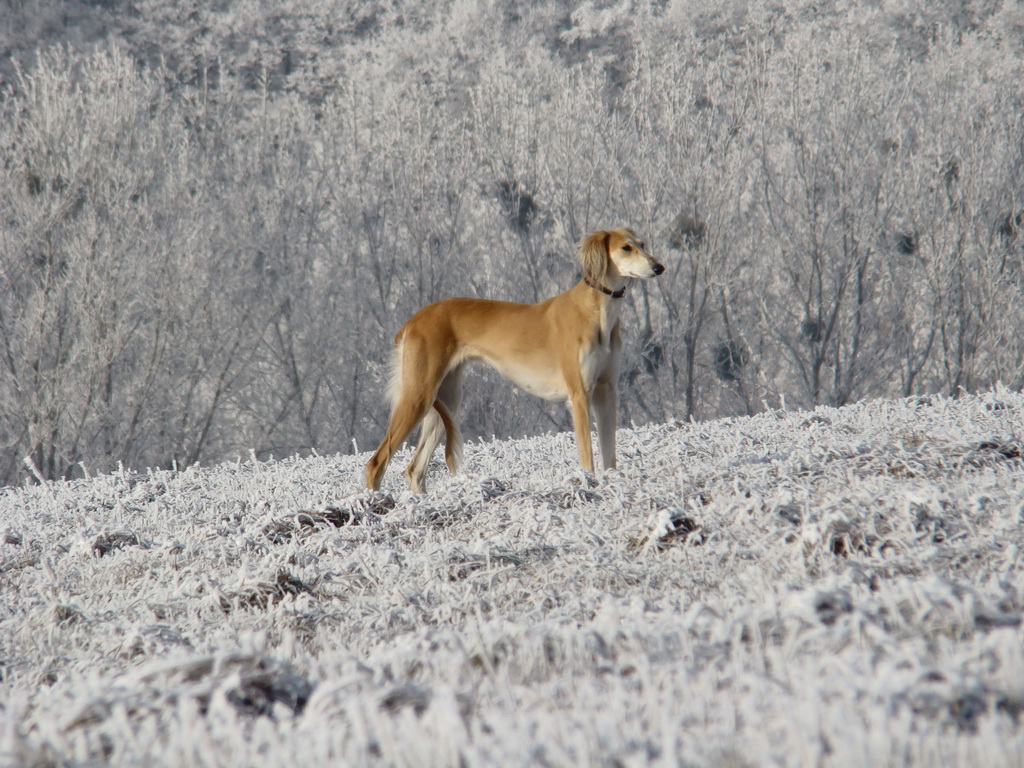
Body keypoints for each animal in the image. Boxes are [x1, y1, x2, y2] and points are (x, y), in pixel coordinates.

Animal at [366, 228, 663, 493]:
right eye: (626, 248)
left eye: (643, 244)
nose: (659, 267)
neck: (597, 312)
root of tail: (412, 321)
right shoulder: (579, 394)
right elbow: (587, 456)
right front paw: (588, 483)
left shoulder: (606, 391)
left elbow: (609, 453)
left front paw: (612, 483)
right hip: (418, 396)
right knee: (376, 462)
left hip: (445, 400)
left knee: (415, 468)